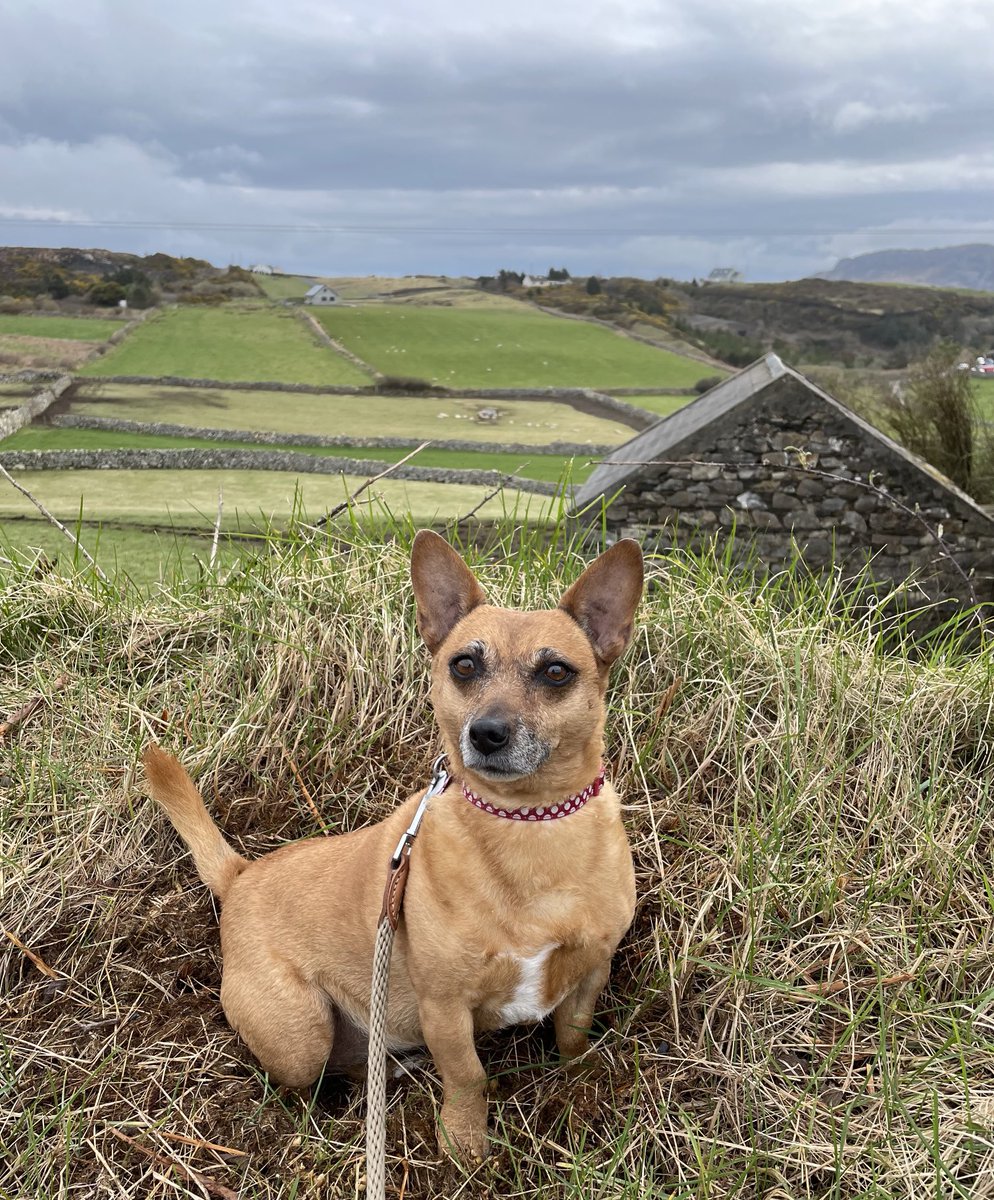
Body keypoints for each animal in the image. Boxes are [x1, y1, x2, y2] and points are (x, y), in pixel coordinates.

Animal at [141, 530, 643, 1156]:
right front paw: (464, 1144)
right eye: (464, 665)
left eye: (555, 672)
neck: (526, 822)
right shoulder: (444, 1008)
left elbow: (573, 1037)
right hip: (301, 1033)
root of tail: (241, 876)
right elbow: (467, 1075)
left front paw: (583, 1087)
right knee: (304, 1075)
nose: (486, 733)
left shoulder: (590, 972)